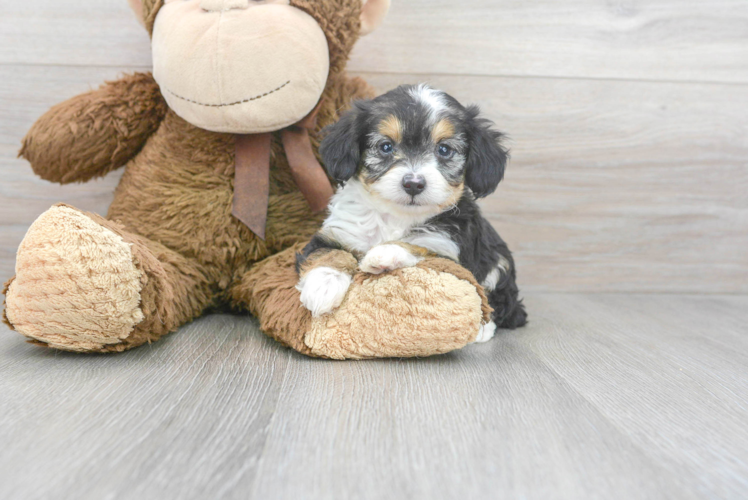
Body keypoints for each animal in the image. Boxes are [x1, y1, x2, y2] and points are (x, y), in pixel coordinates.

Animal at [296, 84, 524, 342]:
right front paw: (322, 286)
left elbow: (419, 246)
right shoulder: (338, 233)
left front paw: (384, 253)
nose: (413, 184)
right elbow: (327, 253)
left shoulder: (447, 248)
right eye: (385, 147)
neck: (396, 216)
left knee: (503, 303)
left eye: (444, 150)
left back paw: (482, 328)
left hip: (500, 262)